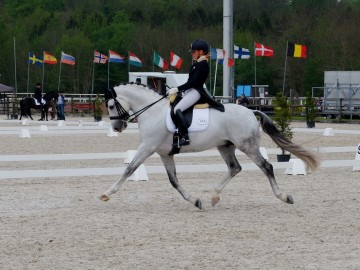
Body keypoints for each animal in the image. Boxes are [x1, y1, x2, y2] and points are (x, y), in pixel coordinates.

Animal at [100, 83, 318, 210]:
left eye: (110, 105)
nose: (117, 127)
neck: (152, 112)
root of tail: (250, 111)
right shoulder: (165, 154)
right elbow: (174, 181)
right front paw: (196, 201)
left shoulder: (147, 147)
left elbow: (129, 169)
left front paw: (107, 193)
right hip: (225, 146)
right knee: (234, 168)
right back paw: (214, 195)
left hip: (247, 146)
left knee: (267, 167)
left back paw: (284, 197)